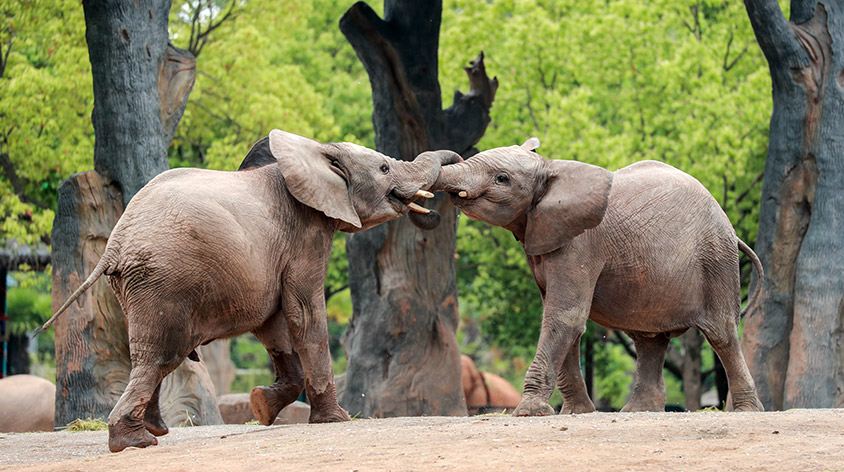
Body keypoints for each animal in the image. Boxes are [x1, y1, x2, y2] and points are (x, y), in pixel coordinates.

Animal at [39, 130, 458, 454]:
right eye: (385, 168)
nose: (441, 208)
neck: (316, 151)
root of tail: (114, 244)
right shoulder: (305, 234)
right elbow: (305, 311)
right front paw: (335, 420)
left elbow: (273, 325)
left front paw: (261, 406)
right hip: (161, 282)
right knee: (159, 357)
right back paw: (136, 442)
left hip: (136, 287)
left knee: (150, 357)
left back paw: (155, 430)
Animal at [428, 138, 764, 414]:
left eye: (502, 179)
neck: (551, 168)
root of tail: (730, 228)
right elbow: (563, 318)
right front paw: (577, 413)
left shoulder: (580, 244)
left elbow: (565, 316)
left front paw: (529, 412)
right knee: (649, 340)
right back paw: (637, 411)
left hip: (716, 259)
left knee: (721, 333)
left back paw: (746, 410)